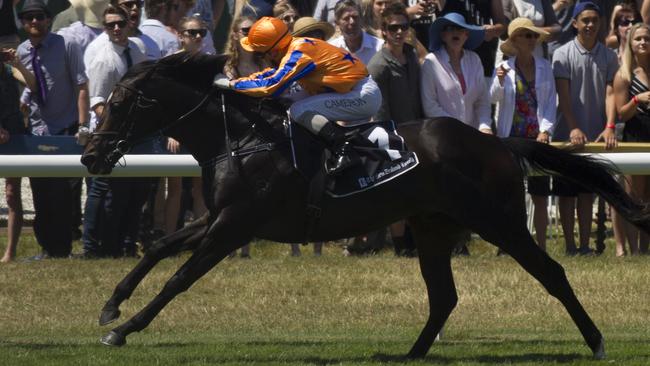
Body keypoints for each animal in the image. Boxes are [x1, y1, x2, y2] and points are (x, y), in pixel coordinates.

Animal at [81, 53, 648, 358]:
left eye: (122, 102)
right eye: (104, 101)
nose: (89, 155)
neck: (241, 138)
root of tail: (499, 142)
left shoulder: (235, 226)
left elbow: (179, 278)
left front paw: (122, 330)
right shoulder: (217, 217)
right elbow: (158, 248)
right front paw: (111, 304)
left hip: (498, 221)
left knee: (551, 273)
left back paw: (596, 341)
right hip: (433, 227)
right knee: (443, 297)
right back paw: (411, 354)